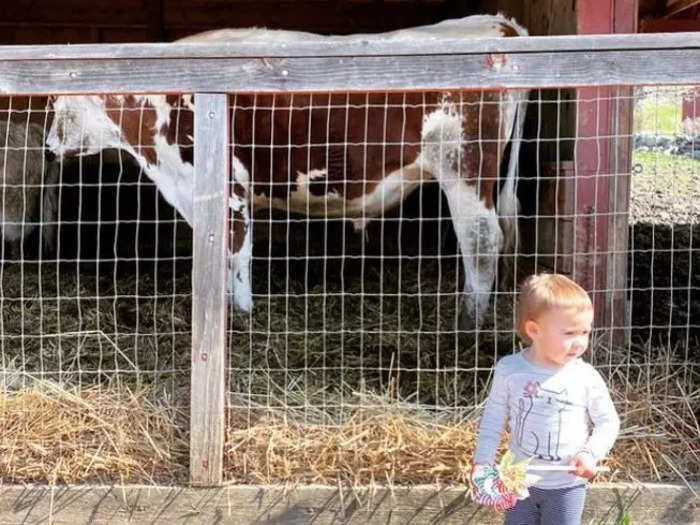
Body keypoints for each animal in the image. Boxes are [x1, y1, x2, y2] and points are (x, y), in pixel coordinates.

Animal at [47, 14, 532, 328]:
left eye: (60, 103)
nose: (49, 147)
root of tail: (497, 23)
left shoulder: (229, 191)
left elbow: (235, 255)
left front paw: (241, 316)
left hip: (464, 166)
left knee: (482, 241)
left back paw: (468, 324)